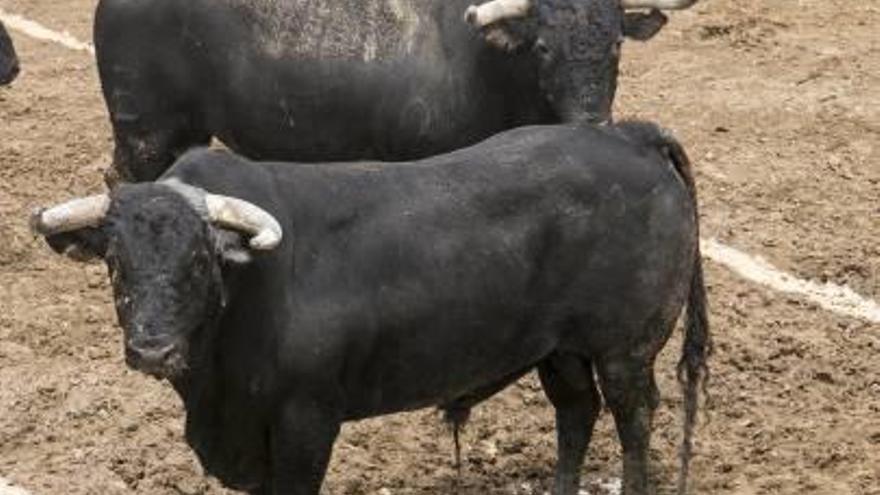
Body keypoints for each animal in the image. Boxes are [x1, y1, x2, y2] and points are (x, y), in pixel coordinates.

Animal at [34, 121, 712, 495]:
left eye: (200, 261)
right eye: (114, 262)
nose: (153, 350)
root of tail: (626, 134)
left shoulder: (307, 421)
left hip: (625, 350)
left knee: (634, 421)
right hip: (560, 348)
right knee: (576, 414)